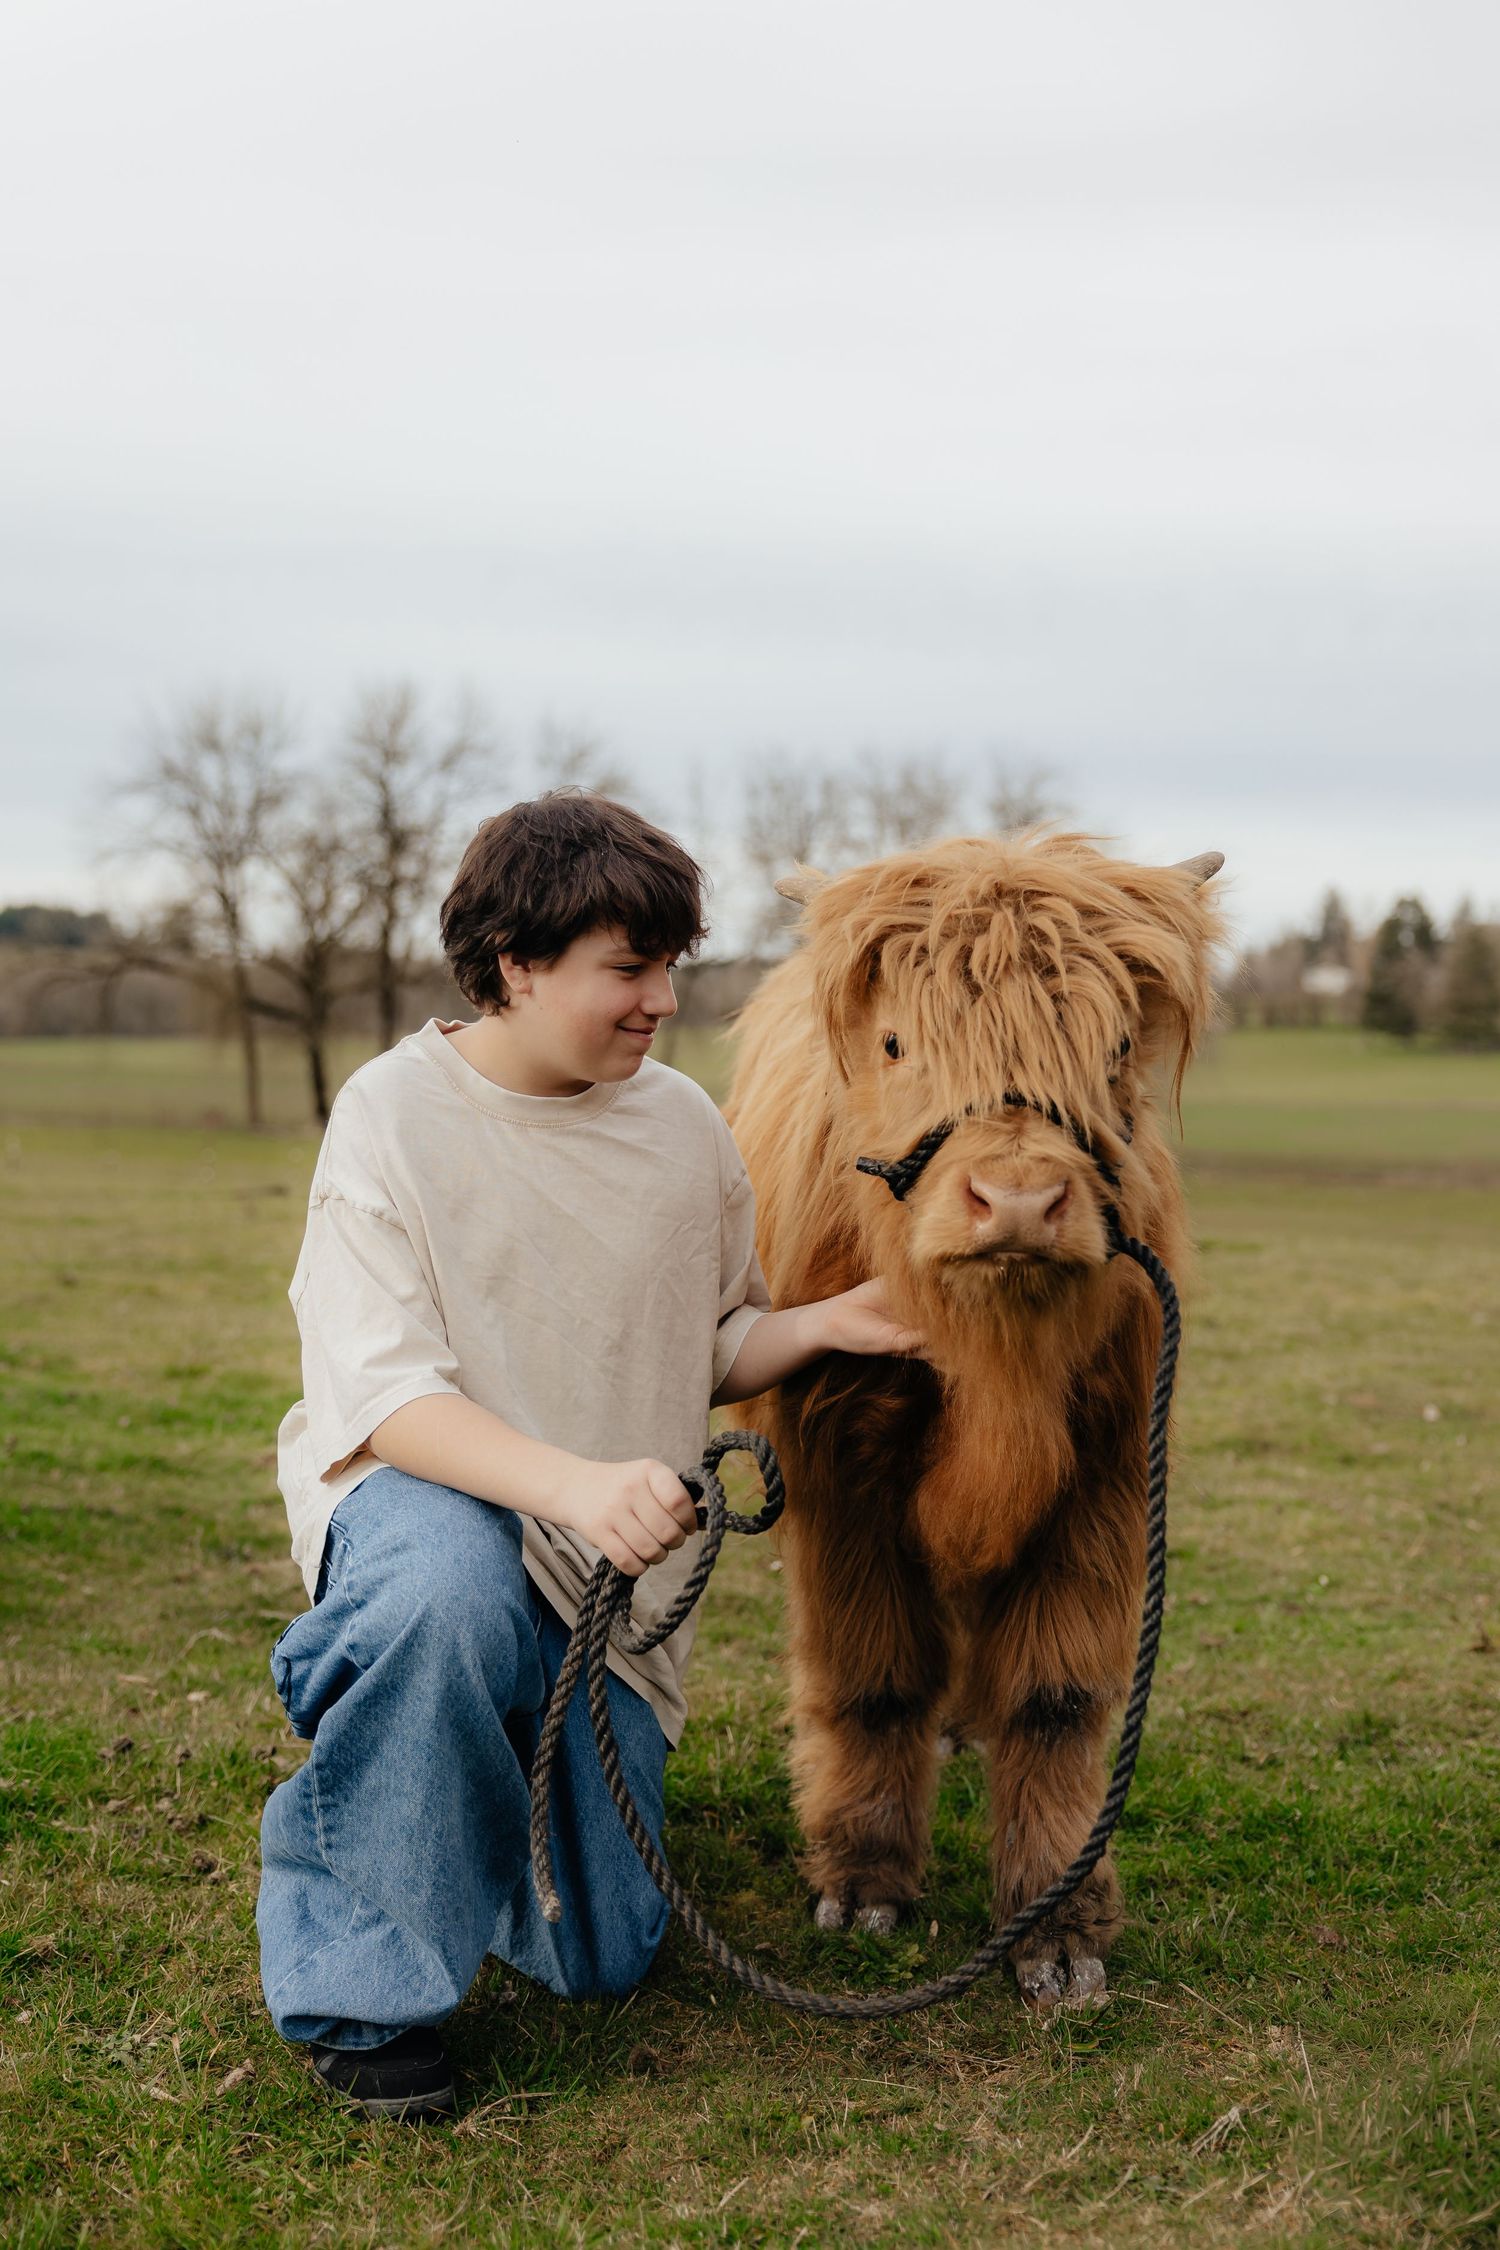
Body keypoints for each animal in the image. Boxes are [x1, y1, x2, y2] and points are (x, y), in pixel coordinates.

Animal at [722, 832, 1225, 2009]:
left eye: (1116, 1043)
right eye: (897, 1040)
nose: (1020, 1203)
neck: (995, 1370)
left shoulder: (1105, 1472)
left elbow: (1056, 1698)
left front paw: (1057, 1931)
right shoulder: (840, 1471)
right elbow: (873, 1672)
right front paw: (864, 1885)